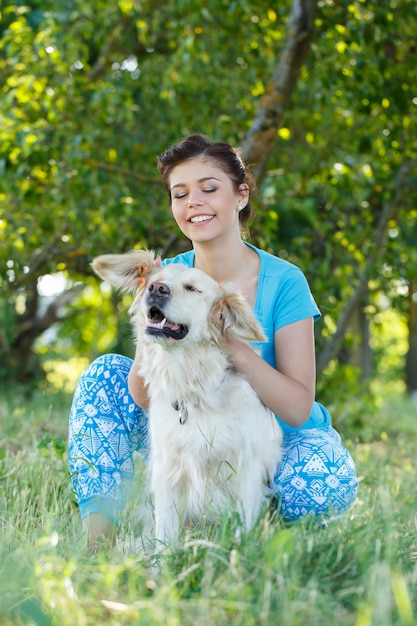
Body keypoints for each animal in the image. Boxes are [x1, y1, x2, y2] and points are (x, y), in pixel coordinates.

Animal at [92, 251, 282, 544]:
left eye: (192, 288)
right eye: (155, 279)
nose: (156, 289)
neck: (192, 384)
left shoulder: (247, 468)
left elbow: (242, 527)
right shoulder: (168, 468)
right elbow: (166, 530)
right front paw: (164, 557)